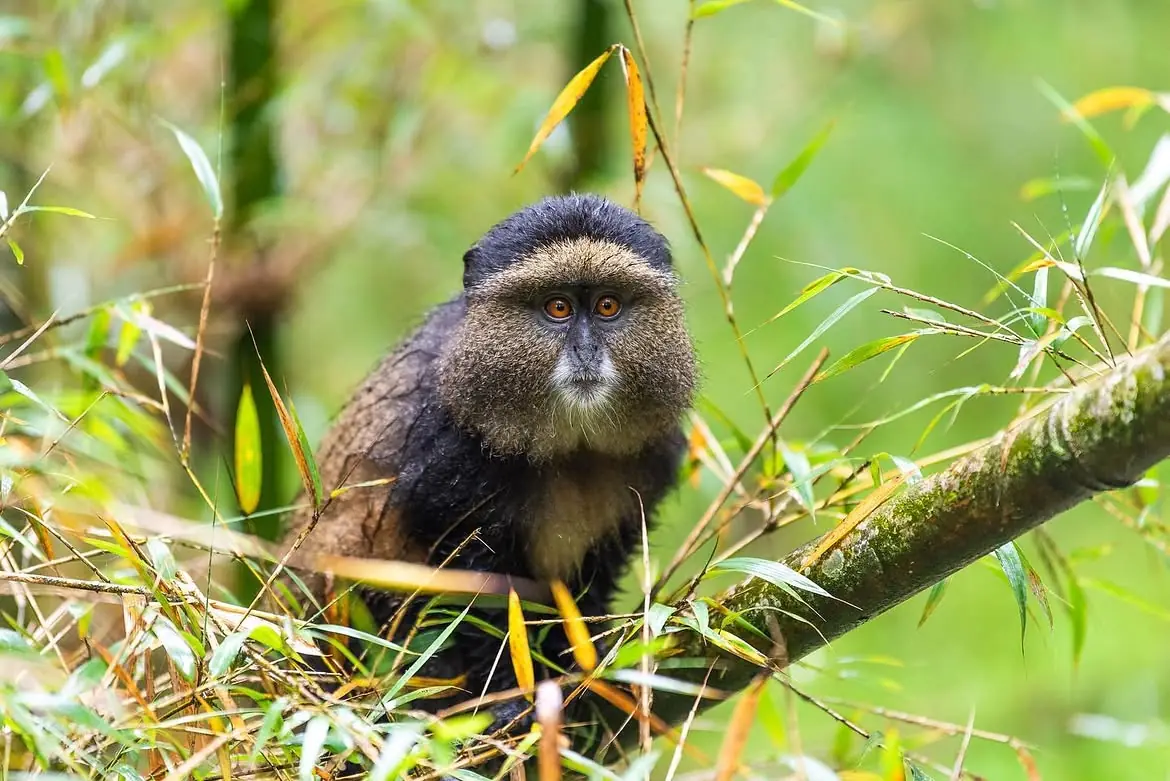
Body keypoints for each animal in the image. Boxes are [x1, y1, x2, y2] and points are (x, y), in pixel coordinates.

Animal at [277, 193, 697, 742]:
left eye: (608, 306)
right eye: (557, 307)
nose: (586, 351)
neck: (570, 443)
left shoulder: (651, 456)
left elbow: (592, 576)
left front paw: (586, 664)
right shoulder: (449, 454)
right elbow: (476, 592)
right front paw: (505, 699)